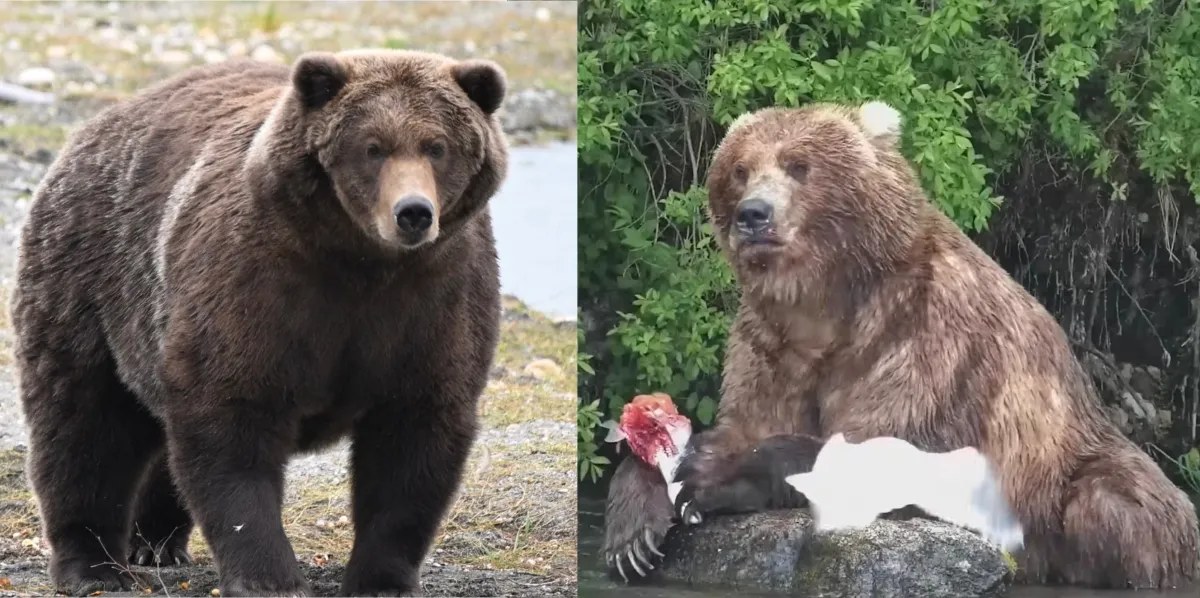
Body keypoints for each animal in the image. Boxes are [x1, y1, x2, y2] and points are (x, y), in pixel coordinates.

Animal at [12, 49, 508, 597]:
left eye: (437, 146)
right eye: (372, 147)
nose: (413, 213)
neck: (362, 263)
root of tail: (94, 127)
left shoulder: (434, 301)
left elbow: (414, 437)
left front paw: (381, 578)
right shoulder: (259, 284)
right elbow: (232, 421)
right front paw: (269, 577)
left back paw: (157, 541)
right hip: (92, 285)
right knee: (83, 423)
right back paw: (93, 566)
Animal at [602, 101, 1200, 589]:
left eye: (799, 165)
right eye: (740, 169)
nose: (754, 214)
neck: (827, 302)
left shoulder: (923, 334)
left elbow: (888, 448)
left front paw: (711, 473)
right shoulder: (771, 343)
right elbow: (748, 417)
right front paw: (635, 530)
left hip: (1078, 471)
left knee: (1111, 508)